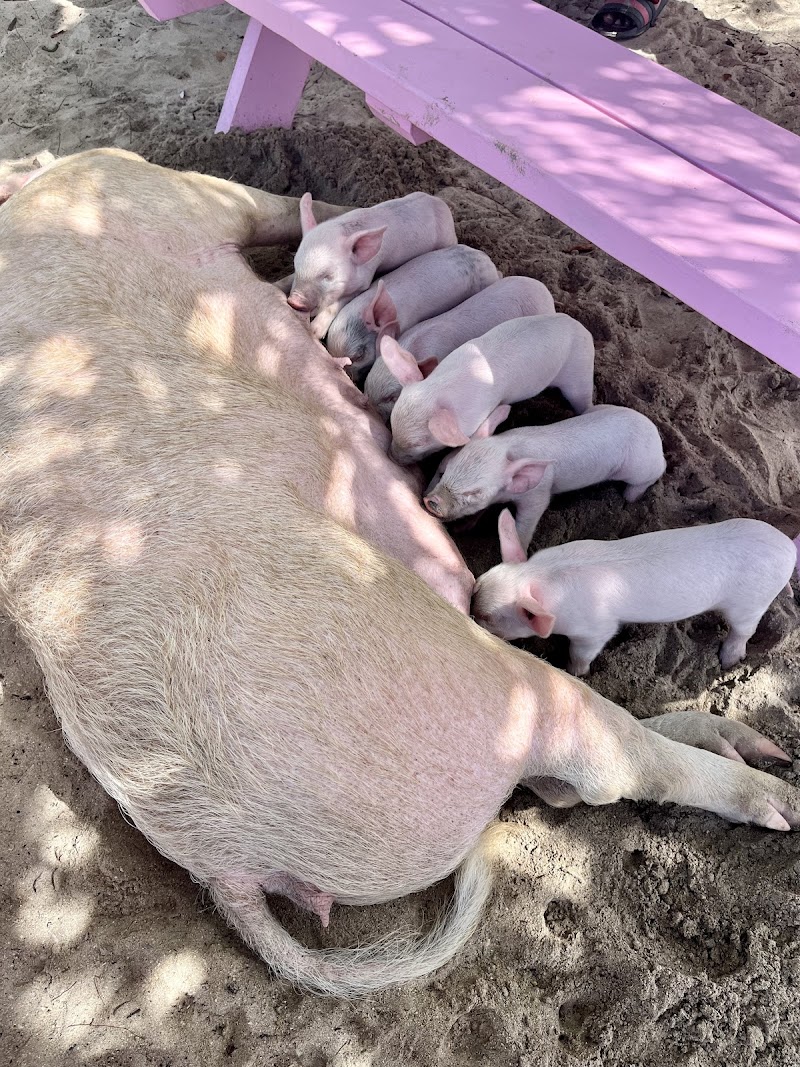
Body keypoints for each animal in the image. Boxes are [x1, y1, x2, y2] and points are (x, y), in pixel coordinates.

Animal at [288, 191, 457, 338]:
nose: (294, 301)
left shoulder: (364, 281)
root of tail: (441, 203)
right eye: (296, 266)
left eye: (328, 276)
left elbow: (335, 305)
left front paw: (314, 332)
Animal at [384, 313, 595, 465]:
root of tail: (582, 328)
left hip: (579, 372)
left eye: (419, 443)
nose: (392, 457)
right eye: (392, 424)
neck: (440, 389)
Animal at [424, 405, 666, 549]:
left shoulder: (538, 495)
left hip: (640, 468)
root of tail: (655, 436)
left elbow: (527, 522)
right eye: (444, 471)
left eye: (475, 492)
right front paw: (461, 529)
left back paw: (630, 498)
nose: (431, 501)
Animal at [473, 512, 797, 676]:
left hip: (751, 601)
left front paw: (576, 673)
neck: (541, 577)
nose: (471, 606)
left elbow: (582, 653)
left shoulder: (595, 629)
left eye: (489, 617)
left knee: (744, 631)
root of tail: (788, 547)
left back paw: (728, 661)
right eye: (477, 584)